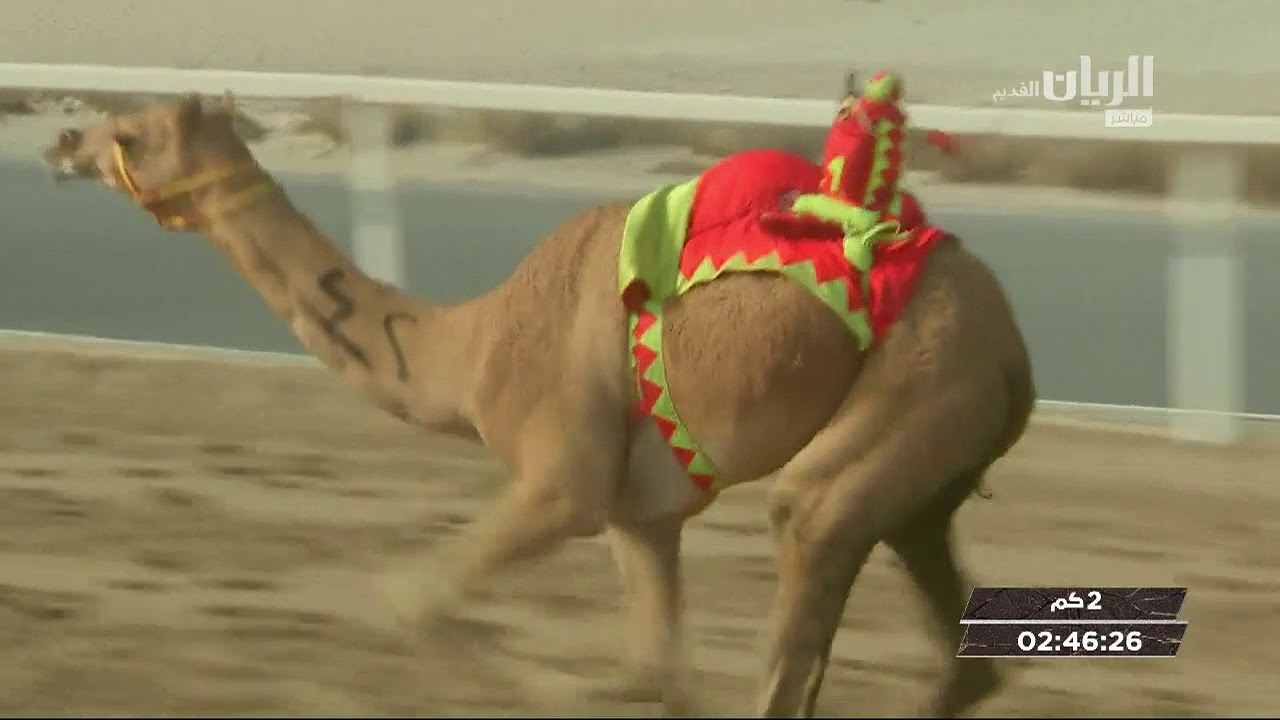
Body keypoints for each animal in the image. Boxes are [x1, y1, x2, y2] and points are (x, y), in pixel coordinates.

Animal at [42, 91, 1035, 718]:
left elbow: (415, 602)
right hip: (926, 479)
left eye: (131, 131)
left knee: (806, 529)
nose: (63, 143)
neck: (465, 347)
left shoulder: (564, 484)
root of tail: (1013, 346)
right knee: (958, 651)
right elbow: (653, 672)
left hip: (915, 395)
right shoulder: (641, 515)